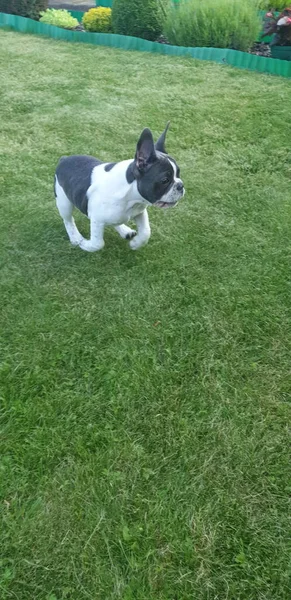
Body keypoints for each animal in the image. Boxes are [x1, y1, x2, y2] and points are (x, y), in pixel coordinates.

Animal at [54, 124, 185, 251]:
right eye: (165, 180)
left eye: (178, 174)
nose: (181, 185)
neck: (131, 196)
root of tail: (63, 159)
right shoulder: (96, 219)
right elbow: (98, 243)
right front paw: (85, 244)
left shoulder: (140, 212)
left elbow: (146, 232)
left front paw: (136, 244)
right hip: (64, 202)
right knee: (68, 220)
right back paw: (75, 237)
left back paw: (124, 230)